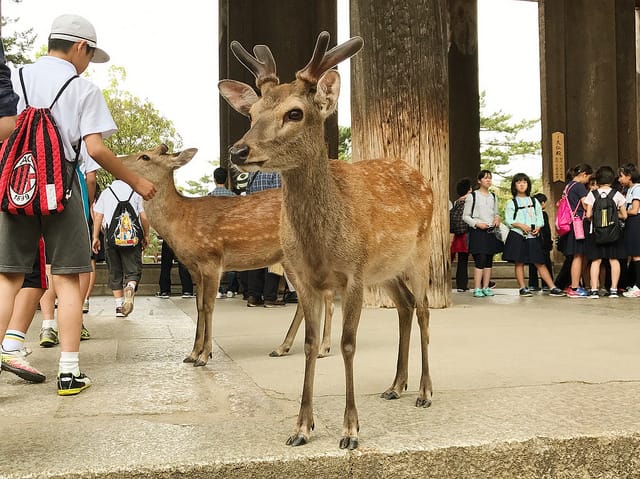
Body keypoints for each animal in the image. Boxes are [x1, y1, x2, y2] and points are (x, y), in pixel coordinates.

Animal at [118, 144, 336, 366]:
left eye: (145, 156)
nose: (118, 161)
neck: (182, 221)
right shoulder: (194, 268)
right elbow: (199, 306)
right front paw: (192, 353)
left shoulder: (211, 259)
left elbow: (208, 306)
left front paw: (204, 356)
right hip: (289, 259)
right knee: (307, 298)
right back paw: (283, 348)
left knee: (326, 294)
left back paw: (323, 348)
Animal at [220, 32, 436, 450]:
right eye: (252, 114)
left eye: (294, 113)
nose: (238, 150)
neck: (320, 245)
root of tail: (420, 175)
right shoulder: (306, 279)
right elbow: (308, 342)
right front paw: (302, 428)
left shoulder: (352, 274)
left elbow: (348, 344)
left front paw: (350, 431)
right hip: (385, 270)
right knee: (403, 307)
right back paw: (395, 385)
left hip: (421, 251)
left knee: (423, 309)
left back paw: (424, 391)